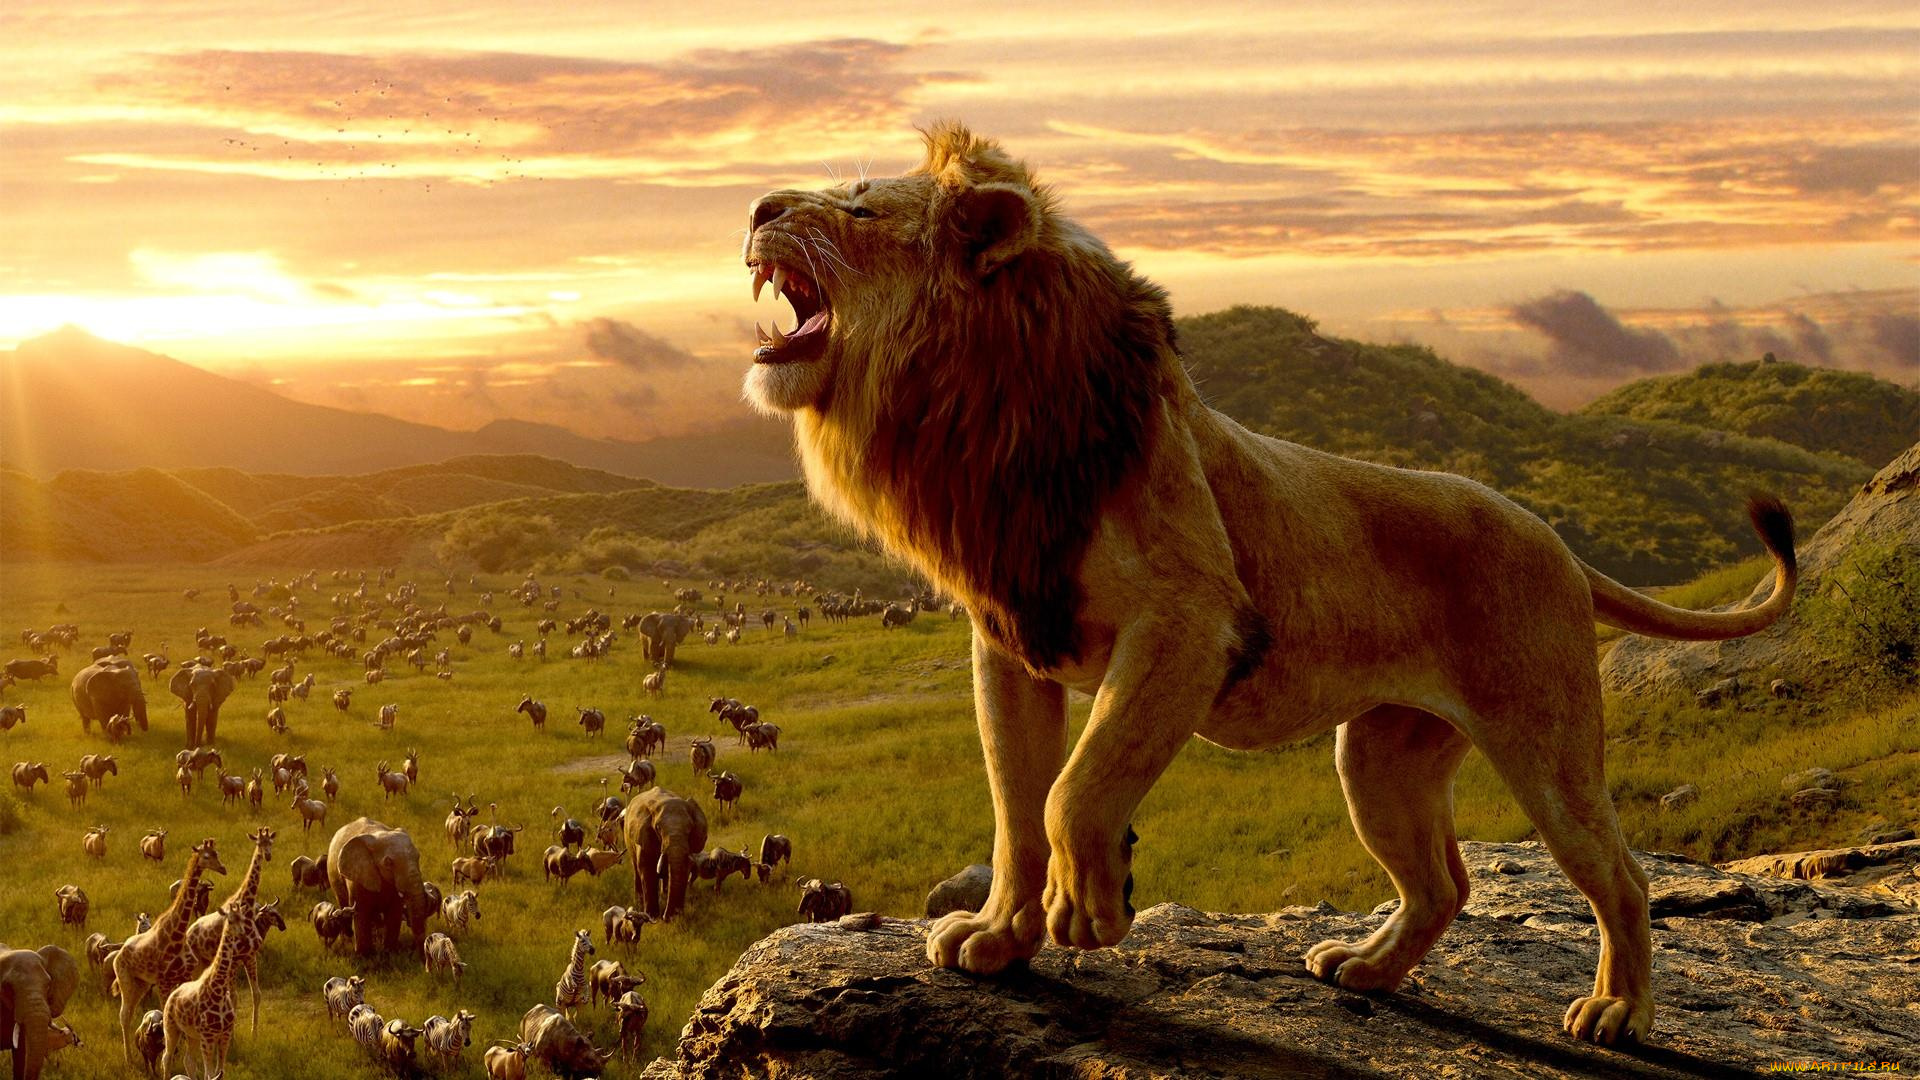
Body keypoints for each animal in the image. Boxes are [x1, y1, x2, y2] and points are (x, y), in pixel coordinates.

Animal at [740, 123, 1796, 1046]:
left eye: (860, 207)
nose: (755, 207)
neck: (978, 417)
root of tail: (1559, 543)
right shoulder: (1011, 640)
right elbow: (1013, 808)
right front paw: (999, 939)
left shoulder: (1191, 621)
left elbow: (1074, 790)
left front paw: (1089, 911)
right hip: (1381, 759)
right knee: (1444, 883)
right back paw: (1364, 969)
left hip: (1545, 742)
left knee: (1619, 874)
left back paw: (1617, 1012)